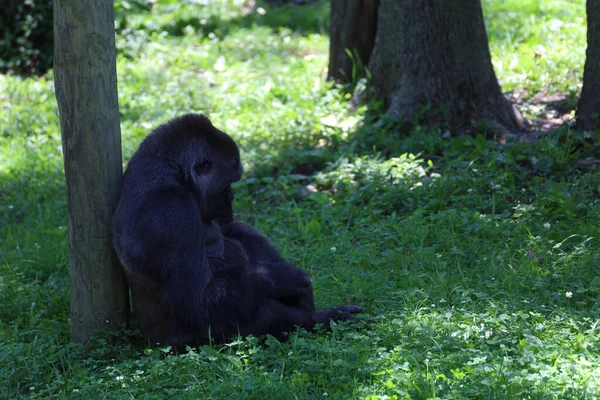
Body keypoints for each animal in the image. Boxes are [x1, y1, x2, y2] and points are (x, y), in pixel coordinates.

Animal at [111, 114, 360, 348]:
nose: (232, 197)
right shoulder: (170, 213)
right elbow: (197, 301)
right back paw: (315, 320)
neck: (171, 172)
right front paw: (286, 278)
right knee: (263, 312)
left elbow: (232, 229)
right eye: (228, 183)